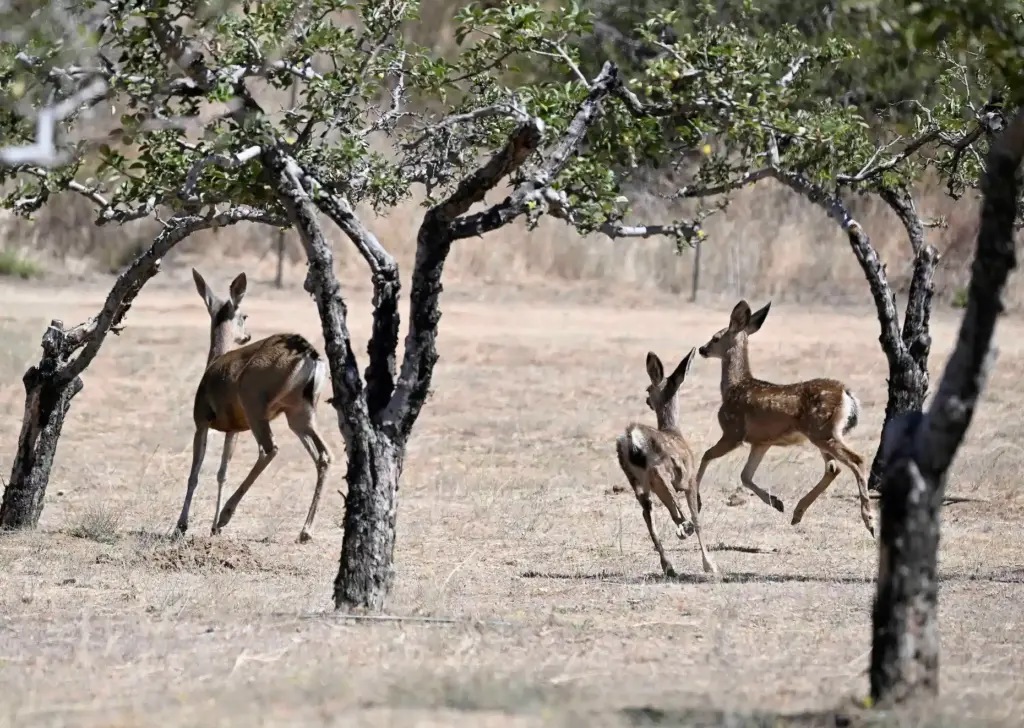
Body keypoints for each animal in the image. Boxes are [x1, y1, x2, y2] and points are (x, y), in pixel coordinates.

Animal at [174, 268, 333, 544]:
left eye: (244, 315)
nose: (246, 335)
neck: (214, 361)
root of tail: (311, 355)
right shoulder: (233, 429)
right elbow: (222, 472)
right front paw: (211, 527)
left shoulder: (201, 420)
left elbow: (195, 472)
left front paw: (182, 525)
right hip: (301, 412)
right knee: (323, 455)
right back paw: (305, 531)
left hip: (254, 402)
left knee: (270, 449)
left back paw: (226, 515)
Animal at [615, 347, 718, 578]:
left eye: (648, 390)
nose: (647, 400)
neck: (674, 430)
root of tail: (632, 437)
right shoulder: (690, 481)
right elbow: (697, 518)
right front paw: (709, 564)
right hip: (658, 471)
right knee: (675, 510)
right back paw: (683, 531)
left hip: (635, 479)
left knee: (648, 515)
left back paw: (669, 566)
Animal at [694, 299, 876, 537]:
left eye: (715, 337)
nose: (702, 349)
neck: (734, 387)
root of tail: (846, 393)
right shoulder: (761, 442)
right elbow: (745, 475)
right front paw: (777, 502)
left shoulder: (733, 431)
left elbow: (706, 455)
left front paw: (696, 503)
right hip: (822, 434)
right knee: (833, 468)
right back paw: (797, 513)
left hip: (822, 431)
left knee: (856, 459)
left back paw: (869, 521)